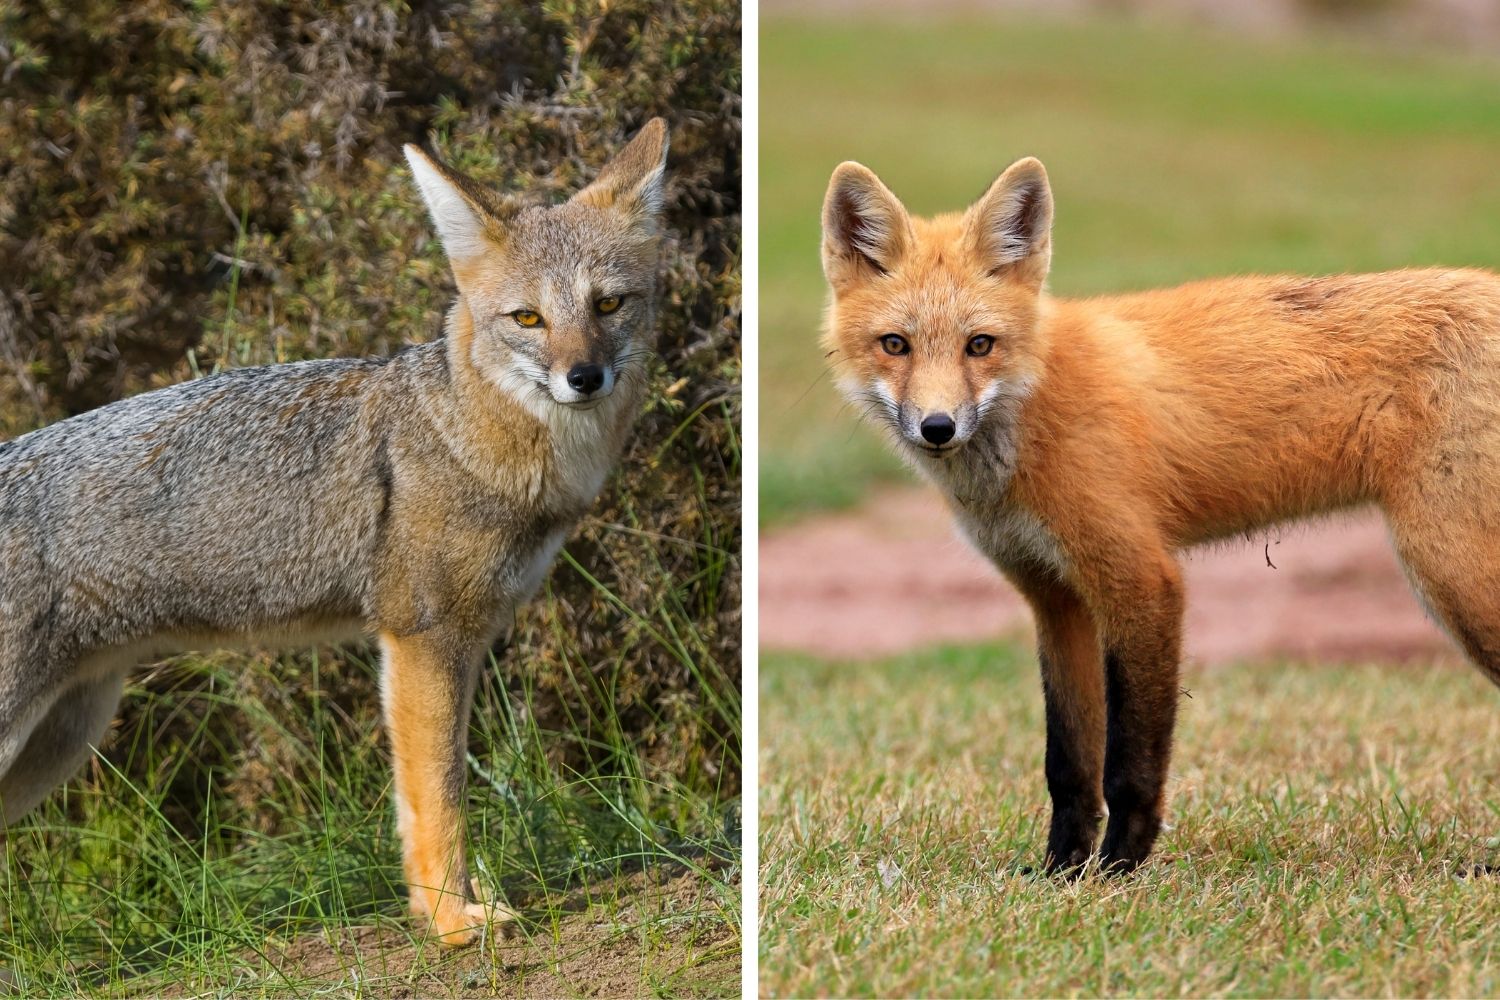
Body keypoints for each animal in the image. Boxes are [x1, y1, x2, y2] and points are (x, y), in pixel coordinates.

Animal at [0, 117, 669, 947]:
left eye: (608, 305)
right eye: (528, 319)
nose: (584, 378)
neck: (464, 434)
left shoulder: (466, 639)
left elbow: (428, 796)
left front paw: (446, 908)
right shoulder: (422, 638)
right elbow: (439, 795)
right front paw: (451, 920)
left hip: (62, 739)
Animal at [828, 154, 1500, 875]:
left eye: (979, 345)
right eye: (895, 344)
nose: (937, 427)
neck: (1036, 407)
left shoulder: (1142, 579)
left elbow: (1130, 762)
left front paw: (1119, 870)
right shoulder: (1055, 598)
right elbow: (1068, 762)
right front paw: (1060, 871)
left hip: (1449, 573)